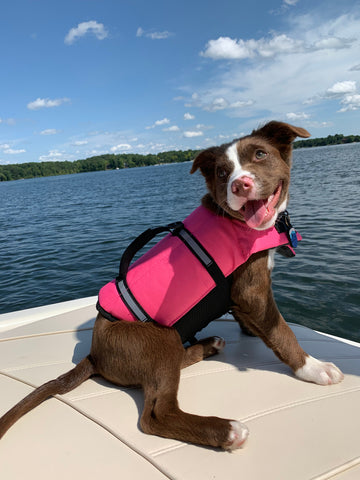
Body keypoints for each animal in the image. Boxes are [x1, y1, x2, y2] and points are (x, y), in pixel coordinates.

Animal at [0, 121, 344, 450]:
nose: (240, 184)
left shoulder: (243, 297)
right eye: (221, 172)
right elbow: (281, 332)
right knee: (156, 414)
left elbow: (258, 325)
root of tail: (95, 355)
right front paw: (314, 368)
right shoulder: (251, 292)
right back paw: (225, 430)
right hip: (158, 338)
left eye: (260, 154)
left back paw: (207, 346)